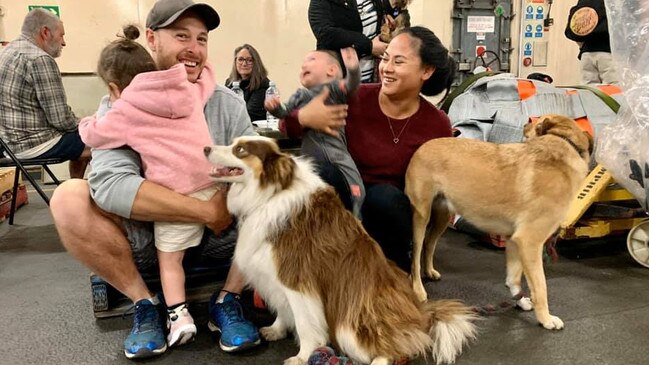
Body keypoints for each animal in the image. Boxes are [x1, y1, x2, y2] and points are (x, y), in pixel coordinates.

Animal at [404, 115, 592, 328]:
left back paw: (429, 271)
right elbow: (540, 286)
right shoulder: (530, 241)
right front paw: (545, 318)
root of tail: (423, 146)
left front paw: (521, 301)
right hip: (421, 216)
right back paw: (419, 289)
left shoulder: (514, 240)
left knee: (429, 244)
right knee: (415, 254)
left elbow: (514, 278)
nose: (525, 124)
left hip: (442, 216)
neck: (563, 144)